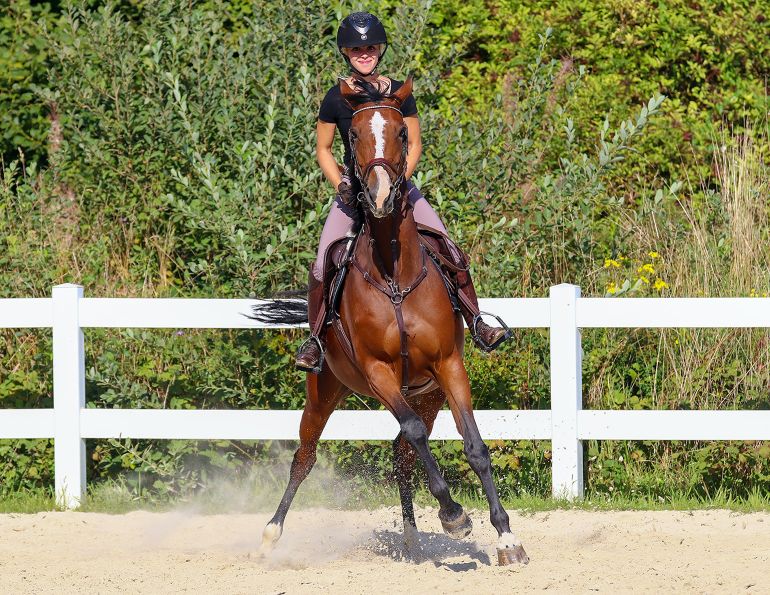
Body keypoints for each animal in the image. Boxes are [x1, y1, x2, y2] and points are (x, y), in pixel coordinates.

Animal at [253, 76, 529, 566]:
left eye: (401, 132)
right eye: (354, 134)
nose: (380, 198)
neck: (394, 274)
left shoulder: (448, 366)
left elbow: (475, 447)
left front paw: (506, 537)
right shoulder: (378, 372)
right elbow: (417, 434)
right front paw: (455, 516)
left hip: (426, 393)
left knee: (403, 454)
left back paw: (412, 538)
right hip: (326, 390)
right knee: (307, 456)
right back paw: (271, 534)